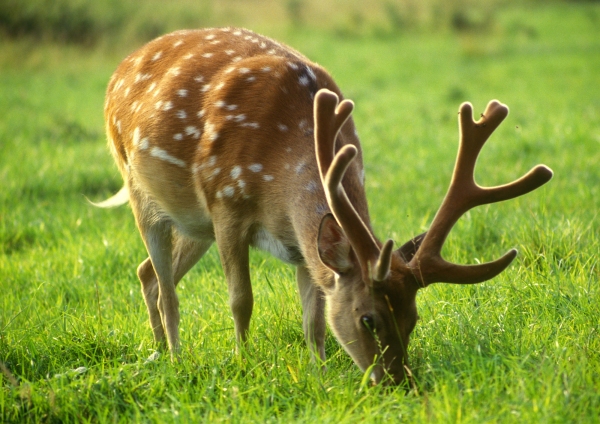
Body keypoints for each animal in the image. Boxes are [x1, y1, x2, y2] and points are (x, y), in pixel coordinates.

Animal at [98, 26, 552, 384]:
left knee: (147, 274)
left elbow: (313, 320)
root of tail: (119, 68)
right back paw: (175, 359)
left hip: (195, 225)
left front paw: (318, 374)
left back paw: (158, 350)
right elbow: (241, 300)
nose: (398, 382)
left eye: (414, 318)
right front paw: (242, 363)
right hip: (141, 190)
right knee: (167, 290)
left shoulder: (300, 243)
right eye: (368, 318)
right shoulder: (226, 203)